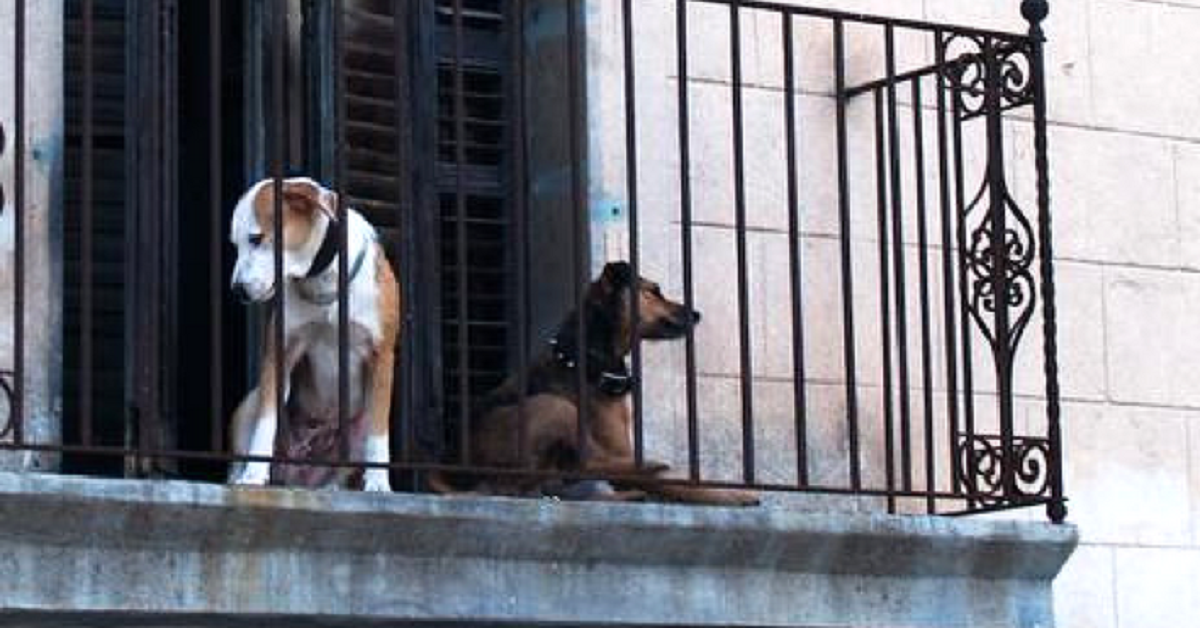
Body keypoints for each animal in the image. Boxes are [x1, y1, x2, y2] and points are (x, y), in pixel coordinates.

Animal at [223, 176, 396, 492]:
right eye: (235, 244)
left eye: (256, 238)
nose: (237, 290)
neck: (323, 278)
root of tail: (299, 476)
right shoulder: (281, 351)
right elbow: (266, 421)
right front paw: (253, 475)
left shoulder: (382, 356)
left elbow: (379, 436)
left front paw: (378, 483)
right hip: (247, 406)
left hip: (355, 431)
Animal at [432, 262, 758, 509]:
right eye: (653, 291)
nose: (696, 314)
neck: (582, 361)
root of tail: (448, 468)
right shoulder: (615, 448)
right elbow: (675, 484)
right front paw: (733, 493)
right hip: (555, 407)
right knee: (589, 468)